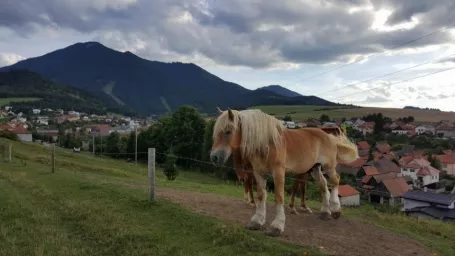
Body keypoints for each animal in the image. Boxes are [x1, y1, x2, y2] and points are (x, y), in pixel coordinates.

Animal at [211, 108, 360, 236]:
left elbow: (279, 197)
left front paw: (276, 226)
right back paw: (325, 213)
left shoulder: (278, 173)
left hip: (328, 166)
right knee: (323, 185)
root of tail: (329, 136)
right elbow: (261, 196)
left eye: (228, 131)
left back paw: (335, 210)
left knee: (335, 180)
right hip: (315, 168)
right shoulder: (259, 173)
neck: (267, 144)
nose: (214, 157)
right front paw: (256, 221)